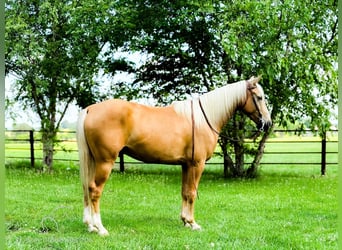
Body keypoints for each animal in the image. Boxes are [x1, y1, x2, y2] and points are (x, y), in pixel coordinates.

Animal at [76, 75, 272, 235]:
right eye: (259, 97)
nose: (268, 123)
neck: (204, 118)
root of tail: (91, 109)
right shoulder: (197, 164)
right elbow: (192, 193)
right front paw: (193, 223)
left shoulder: (186, 165)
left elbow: (185, 192)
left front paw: (185, 221)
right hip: (105, 162)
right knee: (95, 190)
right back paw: (100, 228)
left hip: (93, 161)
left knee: (87, 188)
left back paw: (90, 226)